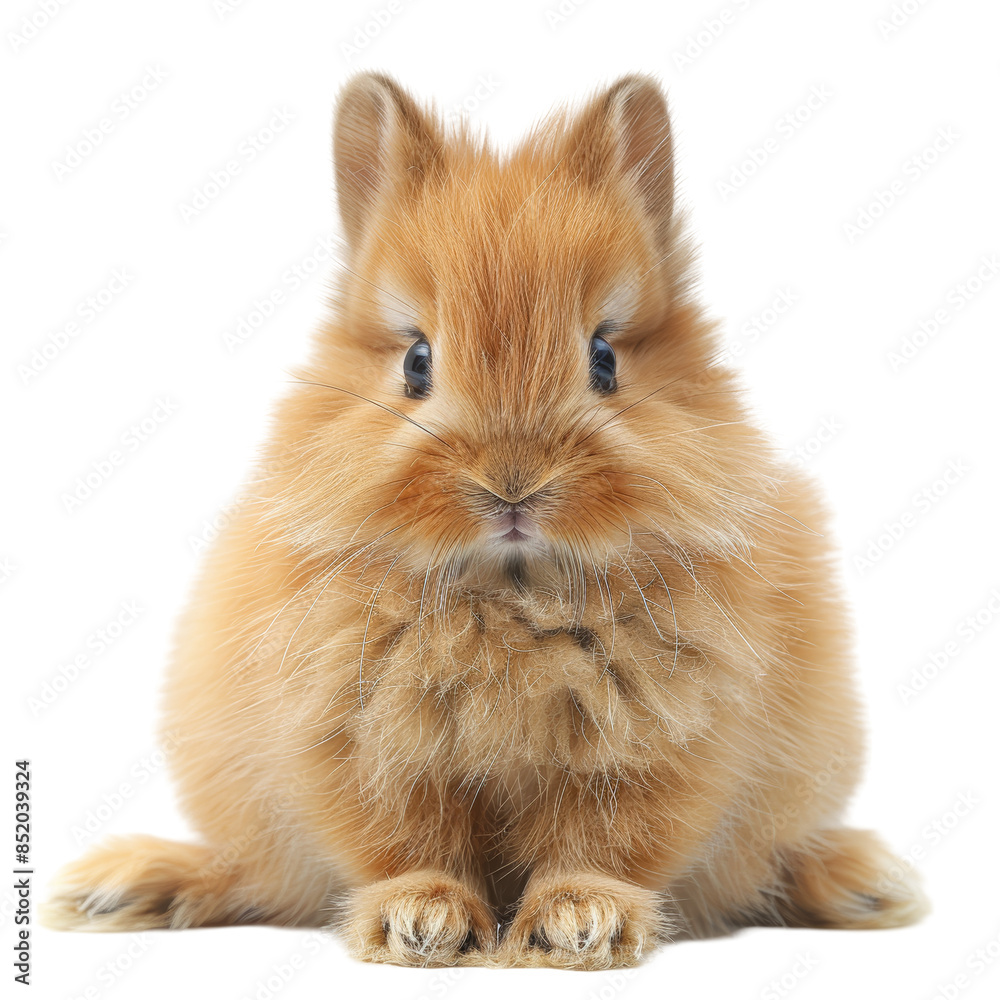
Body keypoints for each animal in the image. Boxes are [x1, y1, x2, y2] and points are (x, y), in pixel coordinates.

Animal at [42, 71, 928, 970]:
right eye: (416, 362)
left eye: (605, 359)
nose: (512, 486)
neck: (512, 596)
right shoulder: (368, 750)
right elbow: (407, 844)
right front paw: (421, 924)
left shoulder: (654, 750)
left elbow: (602, 844)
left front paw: (580, 925)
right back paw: (120, 888)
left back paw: (866, 882)